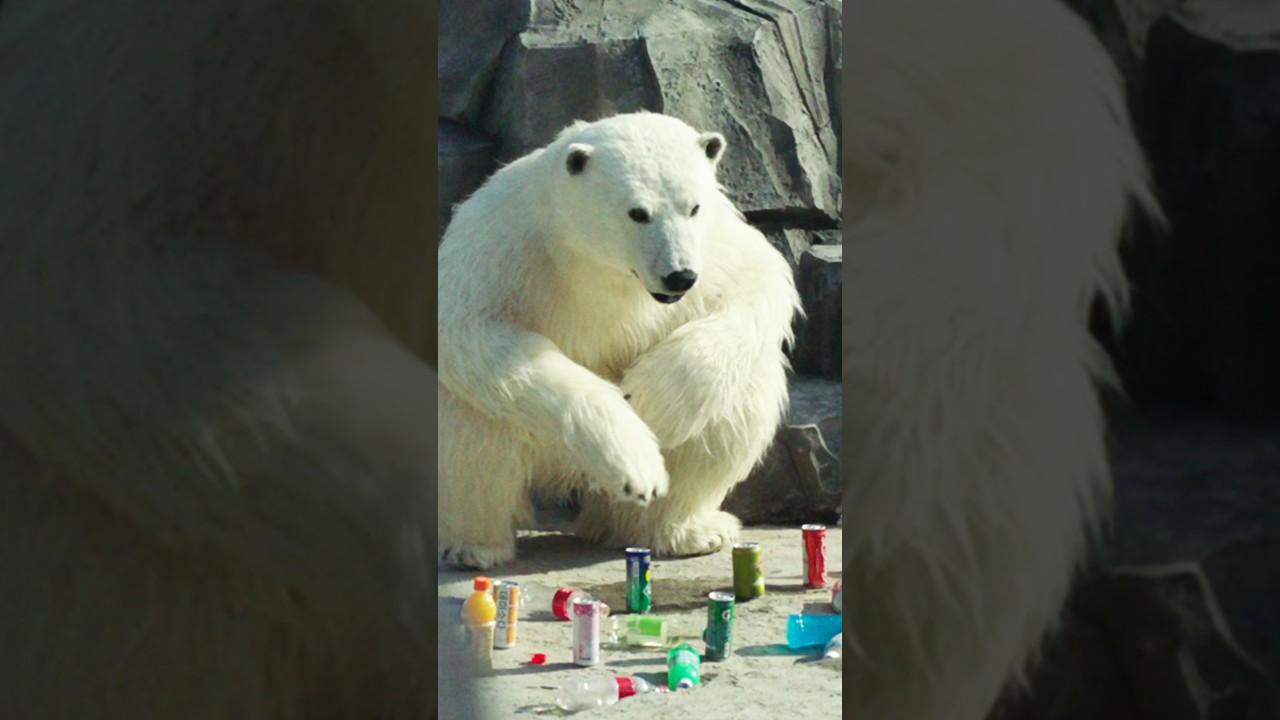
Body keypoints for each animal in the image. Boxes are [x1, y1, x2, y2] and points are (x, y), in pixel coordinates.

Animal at [437, 112, 802, 570]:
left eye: (693, 207)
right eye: (638, 212)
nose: (679, 276)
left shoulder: (715, 241)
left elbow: (759, 279)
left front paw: (655, 399)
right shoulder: (504, 242)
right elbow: (467, 327)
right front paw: (633, 462)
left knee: (741, 398)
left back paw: (684, 530)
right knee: (470, 425)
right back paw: (475, 545)